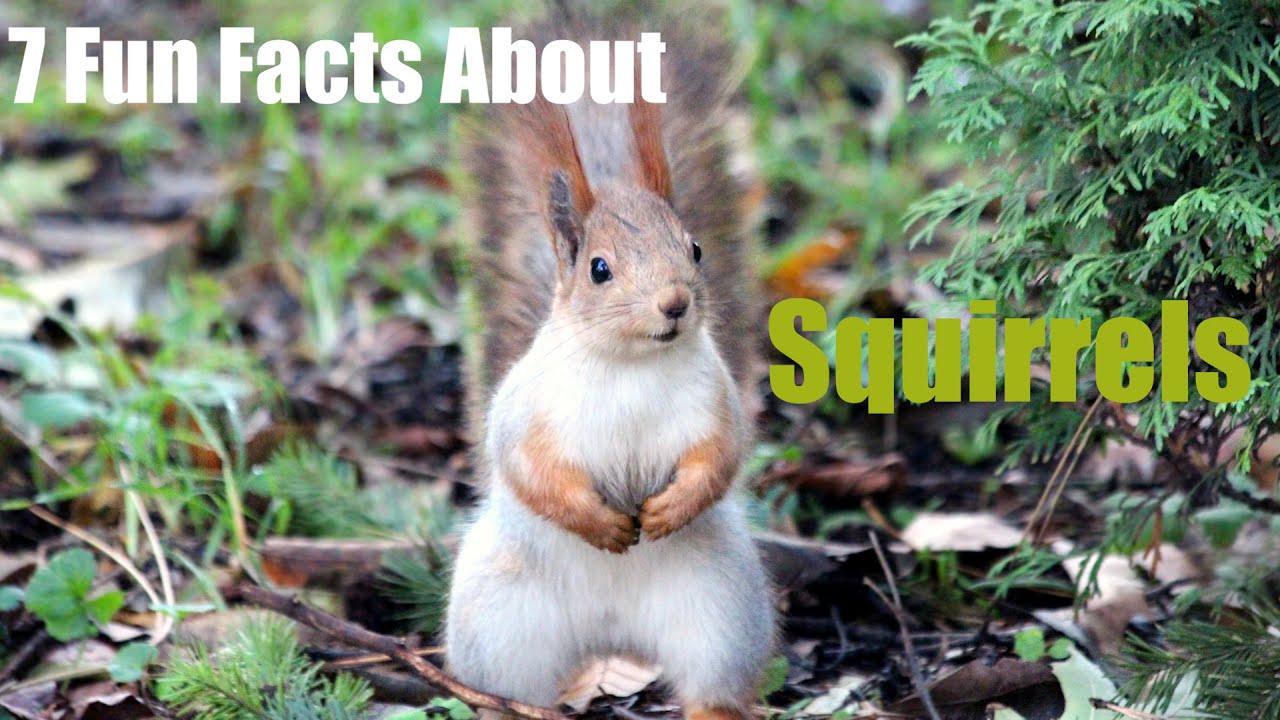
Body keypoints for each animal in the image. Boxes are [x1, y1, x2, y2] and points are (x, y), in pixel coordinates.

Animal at [445, 7, 774, 720]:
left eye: (695, 248)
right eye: (600, 270)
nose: (676, 304)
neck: (630, 364)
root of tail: (612, 636)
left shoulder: (716, 402)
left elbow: (720, 457)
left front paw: (670, 510)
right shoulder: (528, 412)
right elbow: (530, 468)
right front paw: (598, 523)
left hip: (721, 609)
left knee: (714, 684)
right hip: (498, 617)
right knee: (506, 688)